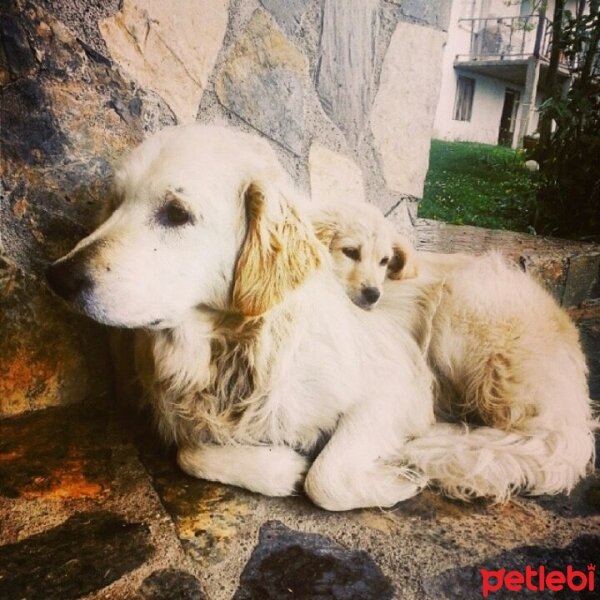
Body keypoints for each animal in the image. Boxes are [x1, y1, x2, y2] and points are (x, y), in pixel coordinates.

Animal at [48, 124, 596, 508]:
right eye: (115, 204)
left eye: (176, 213)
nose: (58, 277)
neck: (236, 345)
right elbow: (192, 453)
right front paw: (279, 468)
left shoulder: (401, 385)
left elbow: (325, 478)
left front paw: (394, 479)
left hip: (466, 322)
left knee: (545, 441)